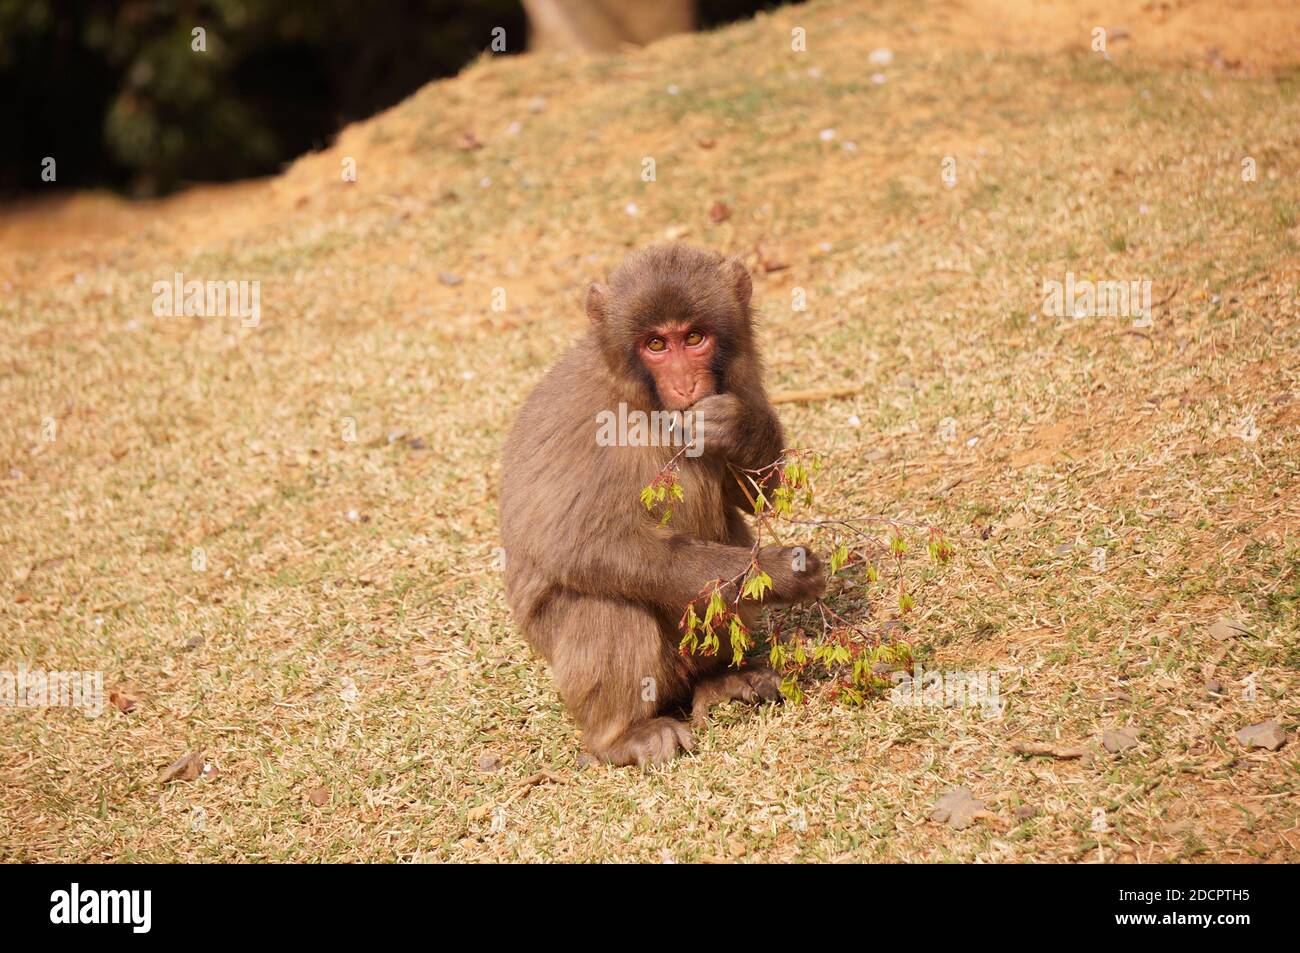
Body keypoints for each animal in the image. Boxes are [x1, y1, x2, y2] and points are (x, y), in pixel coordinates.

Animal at [496, 243, 821, 764]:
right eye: (655, 345)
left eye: (693, 338)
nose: (687, 386)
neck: (645, 403)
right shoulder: (585, 415)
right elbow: (582, 547)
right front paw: (782, 571)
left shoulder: (739, 375)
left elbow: (754, 497)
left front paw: (737, 427)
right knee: (607, 601)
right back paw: (621, 736)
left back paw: (719, 679)